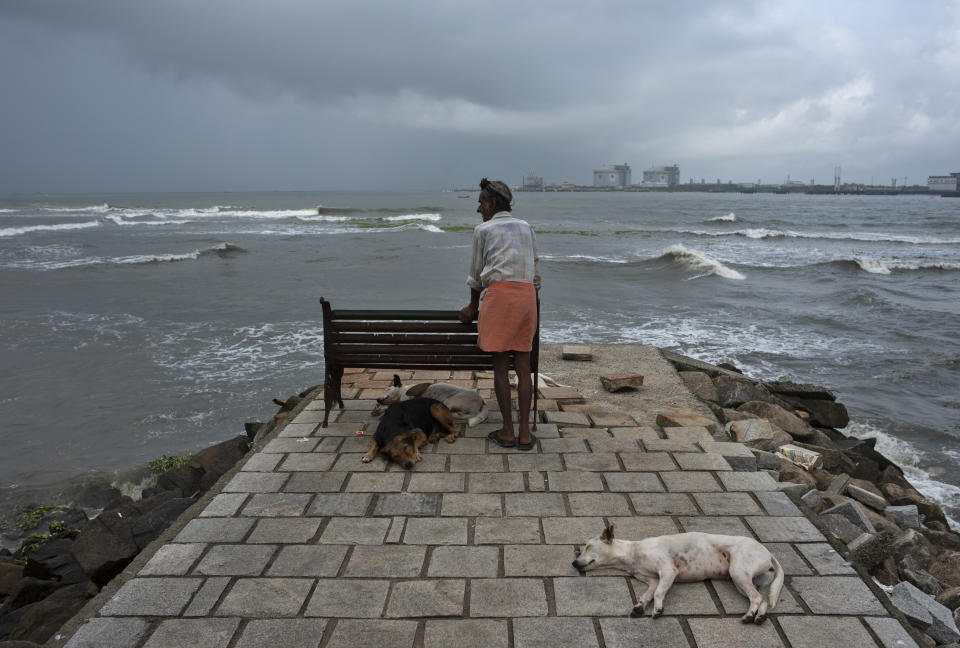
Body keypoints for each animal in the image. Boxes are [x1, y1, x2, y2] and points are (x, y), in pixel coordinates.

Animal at [572, 528, 784, 624]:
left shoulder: (668, 571)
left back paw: (749, 616)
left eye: (588, 547)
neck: (633, 553)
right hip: (741, 581)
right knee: (762, 599)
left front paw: (658, 609)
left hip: (738, 572)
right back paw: (759, 617)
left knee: (756, 598)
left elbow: (658, 593)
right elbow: (647, 595)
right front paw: (640, 607)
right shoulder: (652, 580)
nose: (574, 563)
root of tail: (768, 552)